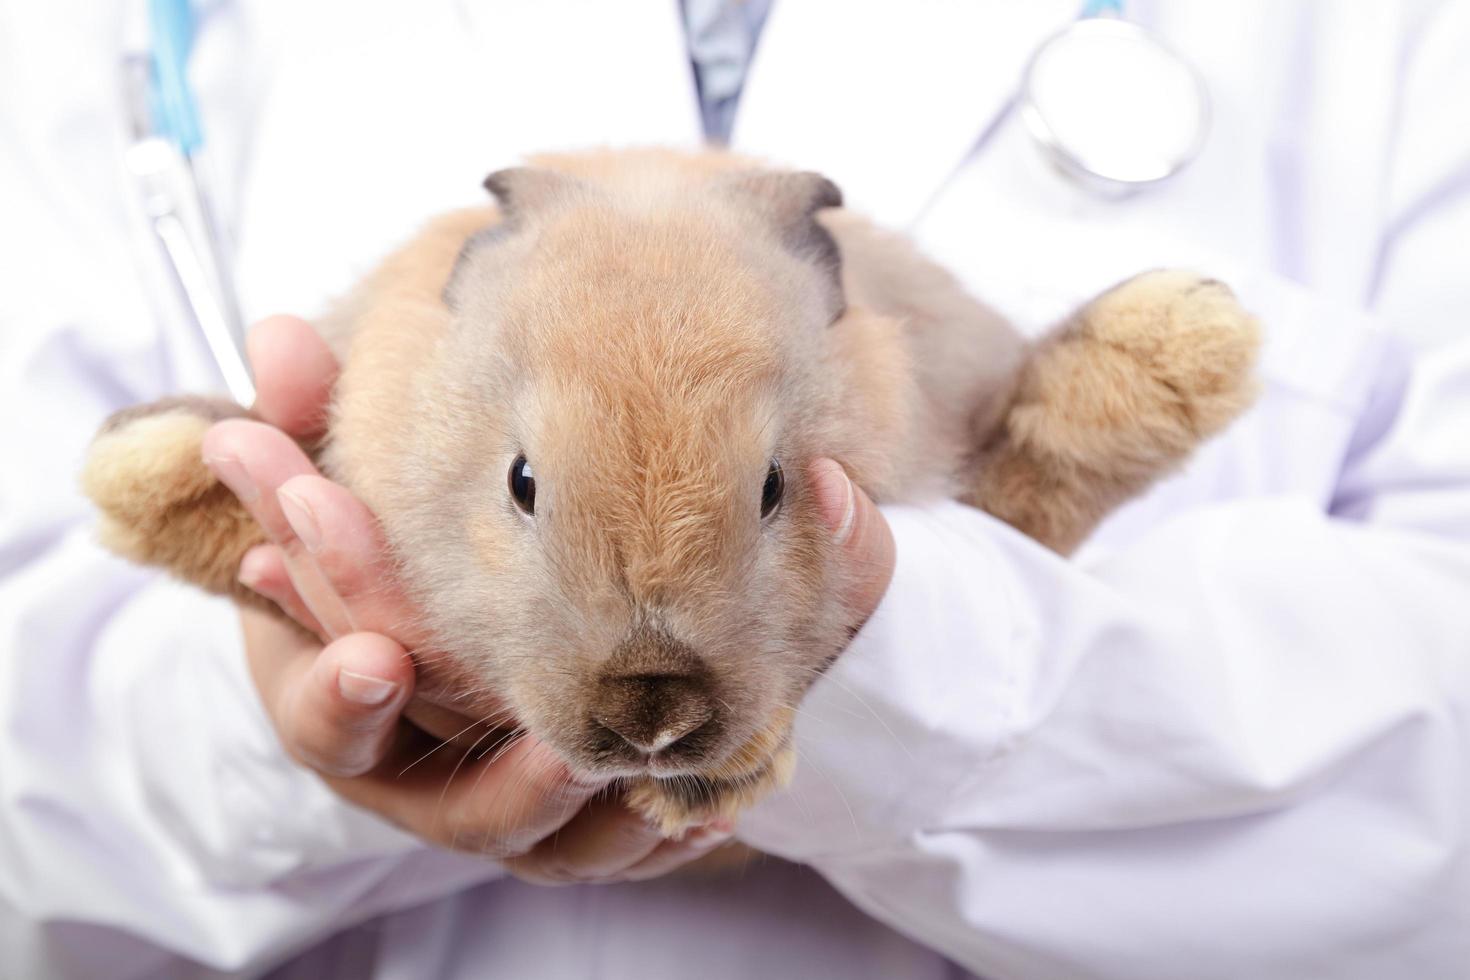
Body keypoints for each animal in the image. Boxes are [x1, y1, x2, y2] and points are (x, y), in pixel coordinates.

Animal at [80, 147, 1258, 834]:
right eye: (522, 481)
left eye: (774, 486)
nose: (652, 712)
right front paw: (143, 467)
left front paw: (717, 783)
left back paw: (1185, 335)